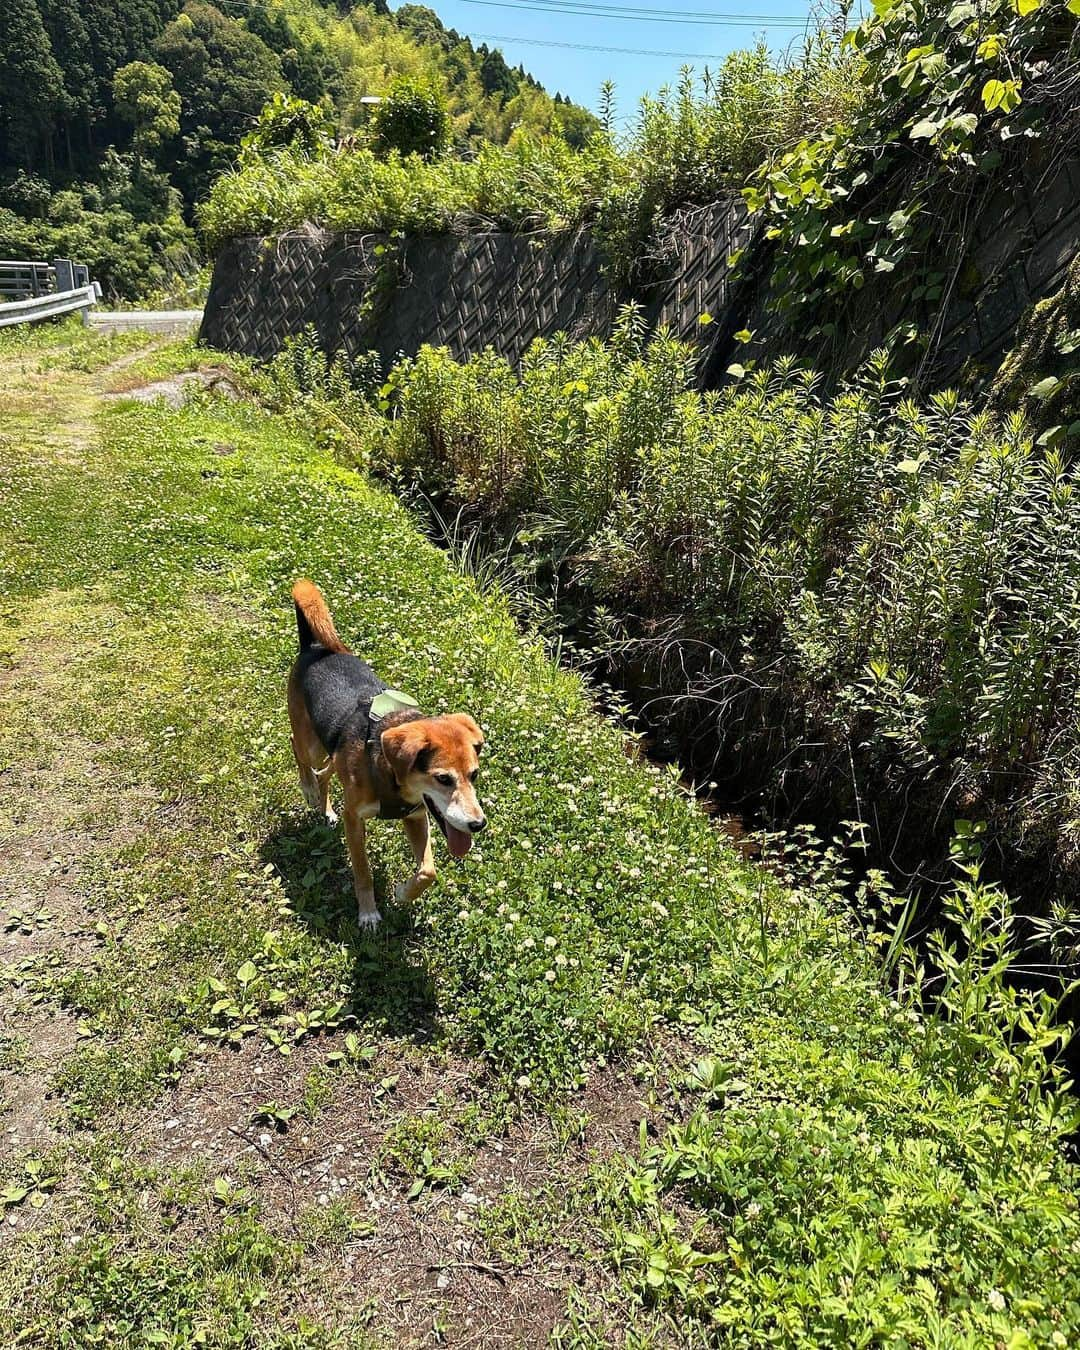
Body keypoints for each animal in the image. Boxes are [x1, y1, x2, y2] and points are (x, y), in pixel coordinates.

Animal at [288, 580, 486, 928]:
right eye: (443, 779)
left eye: (474, 775)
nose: (478, 824)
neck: (392, 777)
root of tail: (315, 647)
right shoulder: (355, 820)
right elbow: (363, 872)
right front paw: (368, 913)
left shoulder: (417, 817)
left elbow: (428, 872)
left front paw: (404, 893)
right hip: (310, 743)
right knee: (301, 755)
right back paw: (309, 789)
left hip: (334, 754)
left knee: (324, 773)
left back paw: (325, 808)